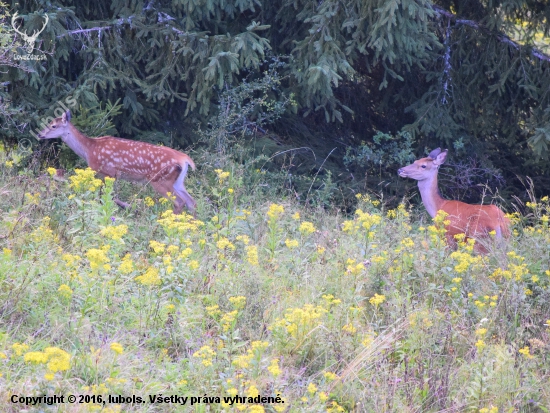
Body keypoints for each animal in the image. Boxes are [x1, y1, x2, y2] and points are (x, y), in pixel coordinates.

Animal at [37, 110, 196, 212]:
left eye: (53, 126)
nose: (39, 134)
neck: (89, 150)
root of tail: (185, 159)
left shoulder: (109, 172)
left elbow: (106, 196)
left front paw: (125, 207)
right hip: (177, 182)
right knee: (191, 201)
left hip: (160, 179)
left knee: (180, 202)